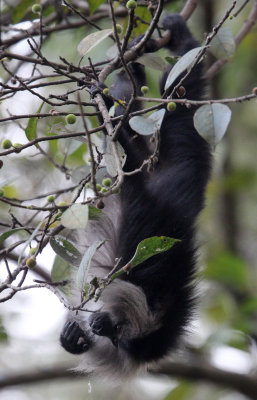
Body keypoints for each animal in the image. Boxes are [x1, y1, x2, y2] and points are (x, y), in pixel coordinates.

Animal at [60, 14, 212, 378]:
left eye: (117, 336)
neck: (157, 289)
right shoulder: (142, 253)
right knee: (179, 99)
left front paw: (74, 338)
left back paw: (132, 74)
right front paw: (107, 112)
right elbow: (129, 178)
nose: (99, 327)